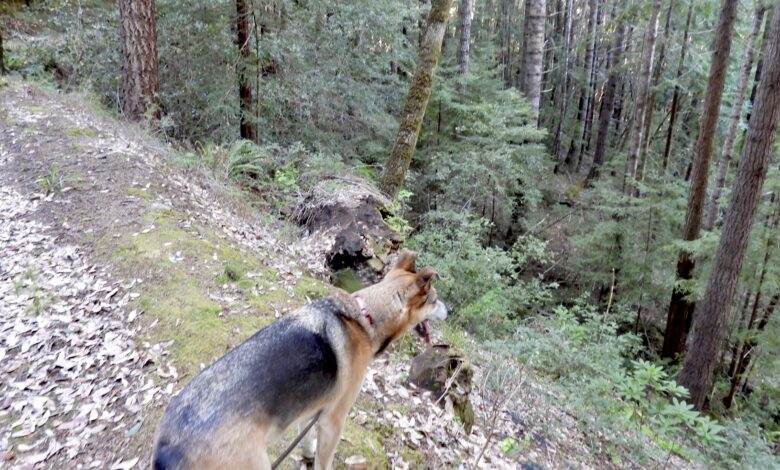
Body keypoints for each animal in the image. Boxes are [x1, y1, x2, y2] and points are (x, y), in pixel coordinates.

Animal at [152, 252, 448, 468]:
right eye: (435, 300)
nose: (449, 309)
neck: (366, 318)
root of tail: (170, 446)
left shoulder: (310, 408)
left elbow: (305, 439)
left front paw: (306, 454)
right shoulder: (333, 420)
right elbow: (324, 461)